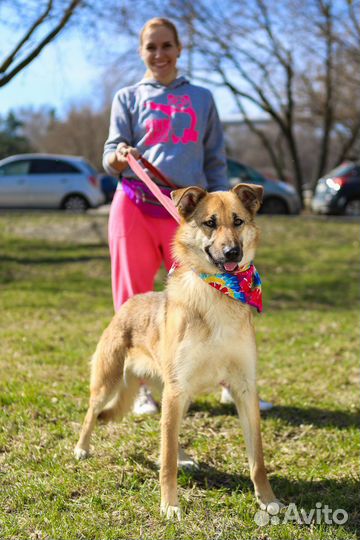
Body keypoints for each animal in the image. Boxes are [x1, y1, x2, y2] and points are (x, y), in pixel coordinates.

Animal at [74, 185, 278, 520]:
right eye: (209, 223)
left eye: (238, 221)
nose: (232, 253)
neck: (217, 294)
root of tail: (130, 302)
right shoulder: (178, 389)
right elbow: (166, 460)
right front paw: (169, 505)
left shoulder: (244, 389)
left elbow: (257, 459)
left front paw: (268, 499)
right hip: (112, 382)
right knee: (93, 413)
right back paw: (82, 447)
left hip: (175, 392)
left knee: (169, 433)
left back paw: (182, 456)